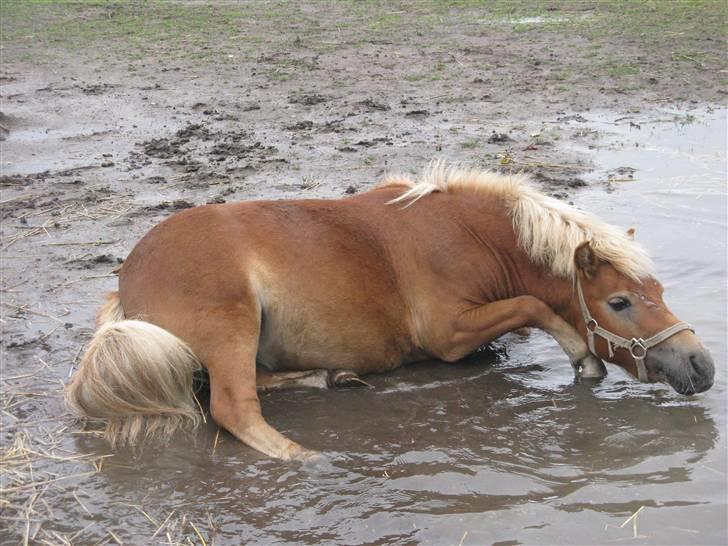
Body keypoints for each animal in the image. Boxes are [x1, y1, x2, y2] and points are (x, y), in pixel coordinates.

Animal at [65, 163, 712, 460]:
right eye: (619, 302)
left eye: (658, 290)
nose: (701, 365)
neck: (466, 236)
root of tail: (127, 282)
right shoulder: (447, 333)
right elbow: (532, 304)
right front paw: (583, 357)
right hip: (232, 324)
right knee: (230, 405)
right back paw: (305, 456)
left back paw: (327, 376)